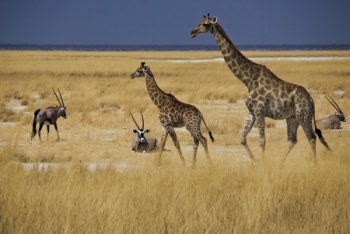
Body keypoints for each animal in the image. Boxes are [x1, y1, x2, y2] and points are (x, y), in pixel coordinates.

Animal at [190, 14, 330, 165]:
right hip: (292, 118)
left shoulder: (260, 110)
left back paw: (314, 165)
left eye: (205, 24)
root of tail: (311, 100)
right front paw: (256, 162)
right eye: (199, 22)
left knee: (311, 138)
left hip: (303, 115)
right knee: (292, 140)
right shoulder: (252, 111)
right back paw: (280, 165)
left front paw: (262, 164)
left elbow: (262, 141)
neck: (248, 79)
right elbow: (242, 138)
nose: (192, 33)